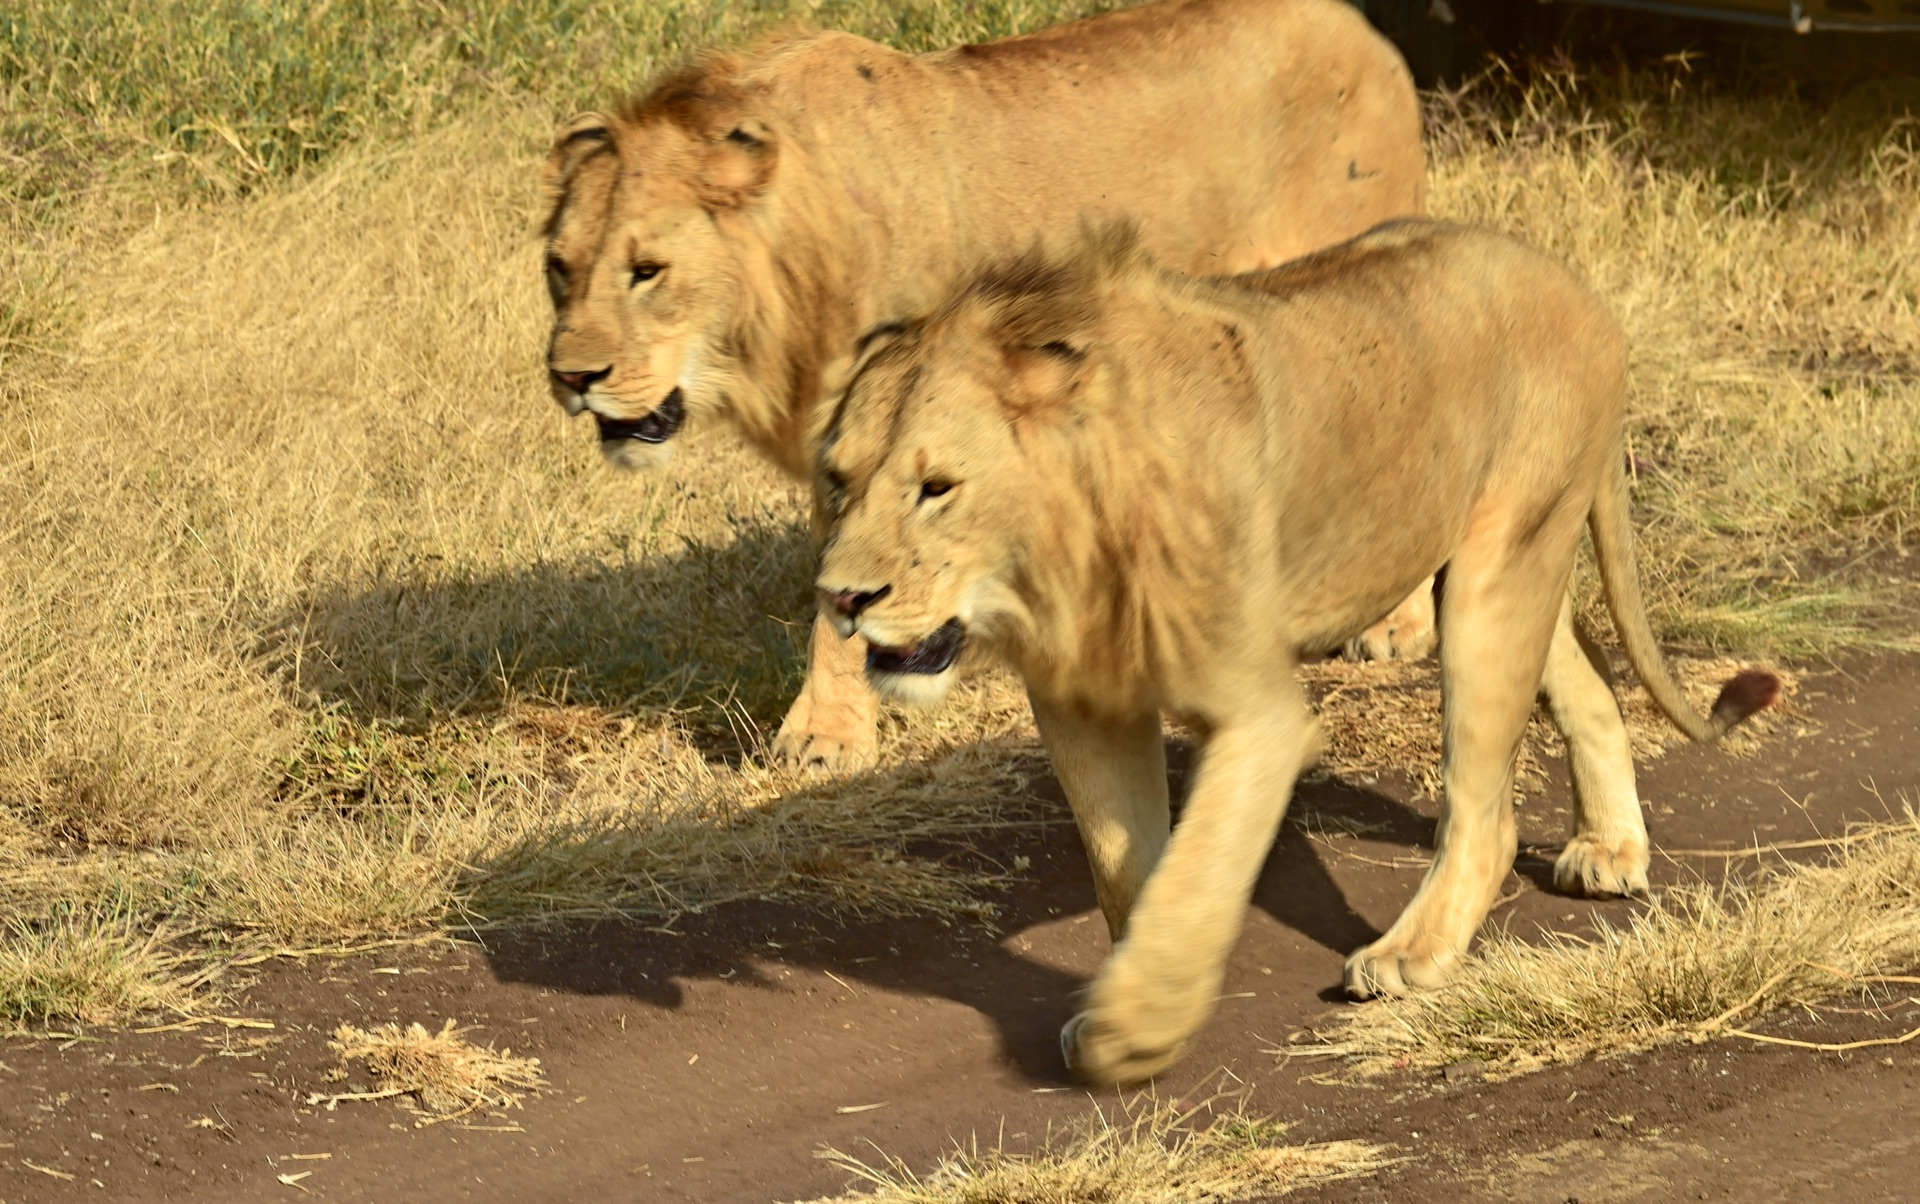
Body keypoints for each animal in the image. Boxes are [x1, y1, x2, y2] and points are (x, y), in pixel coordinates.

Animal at [533, 0, 1436, 771]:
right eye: (559, 268)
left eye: (647, 271)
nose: (572, 377)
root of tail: (1362, 30)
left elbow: (843, 594)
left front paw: (826, 738)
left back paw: (1393, 626)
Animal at [810, 221, 1781, 1090]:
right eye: (836, 479)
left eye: (938, 487)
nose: (842, 598)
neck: (1067, 550)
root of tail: (1566, 277)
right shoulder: (1084, 703)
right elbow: (1128, 863)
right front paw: (1138, 991)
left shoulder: (1257, 713)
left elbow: (1198, 863)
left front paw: (1134, 1029)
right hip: (1489, 566)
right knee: (1587, 676)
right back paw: (1610, 846)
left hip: (1494, 570)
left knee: (1486, 805)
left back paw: (1412, 952)